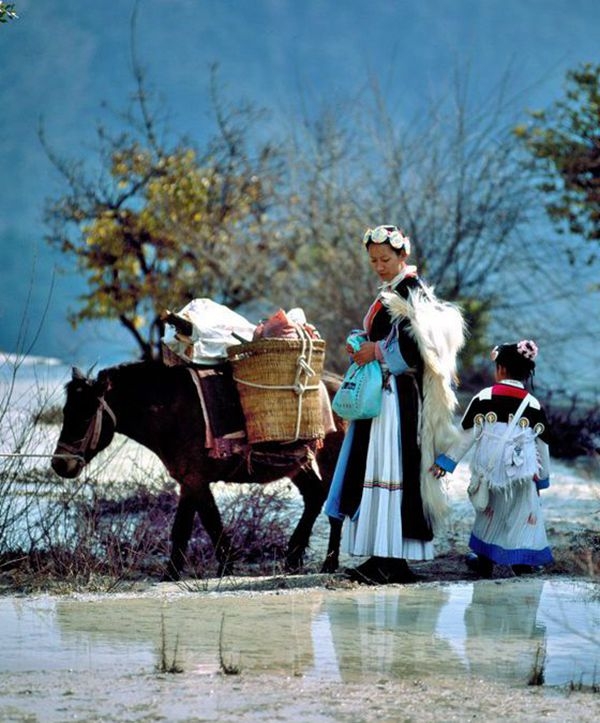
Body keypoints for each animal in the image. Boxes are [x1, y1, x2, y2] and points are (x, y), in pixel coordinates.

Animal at [51, 360, 345, 580]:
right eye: (66, 412)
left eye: (86, 416)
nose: (60, 464)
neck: (170, 410)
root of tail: (340, 381)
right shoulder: (187, 480)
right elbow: (186, 528)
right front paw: (175, 573)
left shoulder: (196, 480)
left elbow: (206, 525)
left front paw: (221, 568)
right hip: (297, 464)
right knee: (314, 496)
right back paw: (294, 557)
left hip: (331, 460)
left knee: (333, 508)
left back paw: (328, 564)